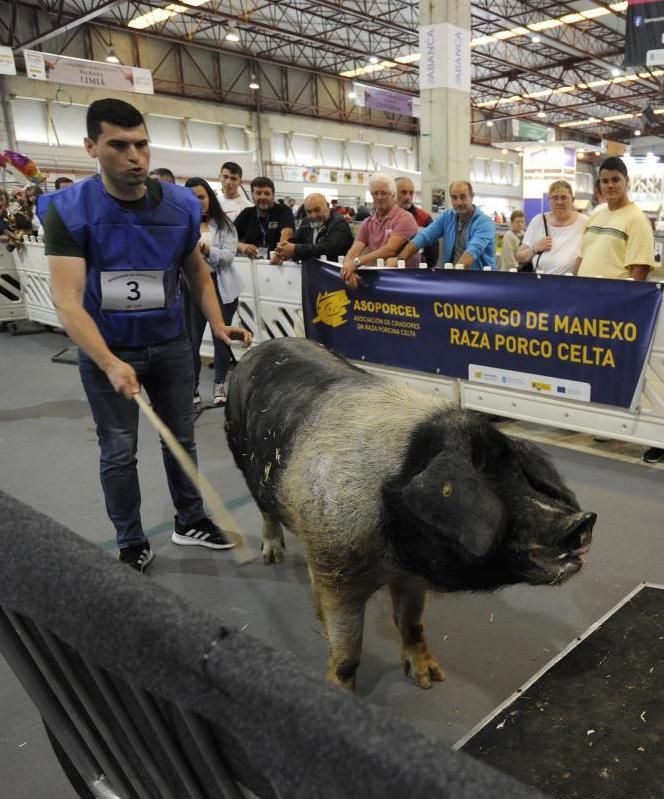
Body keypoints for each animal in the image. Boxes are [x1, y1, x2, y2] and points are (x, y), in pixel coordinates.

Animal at [224, 334, 596, 692]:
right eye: (487, 482)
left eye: (520, 474)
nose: (581, 520)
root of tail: (257, 348)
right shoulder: (338, 576)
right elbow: (347, 656)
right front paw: (341, 692)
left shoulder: (410, 578)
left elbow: (411, 623)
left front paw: (430, 680)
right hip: (244, 462)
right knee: (266, 511)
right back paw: (272, 557)